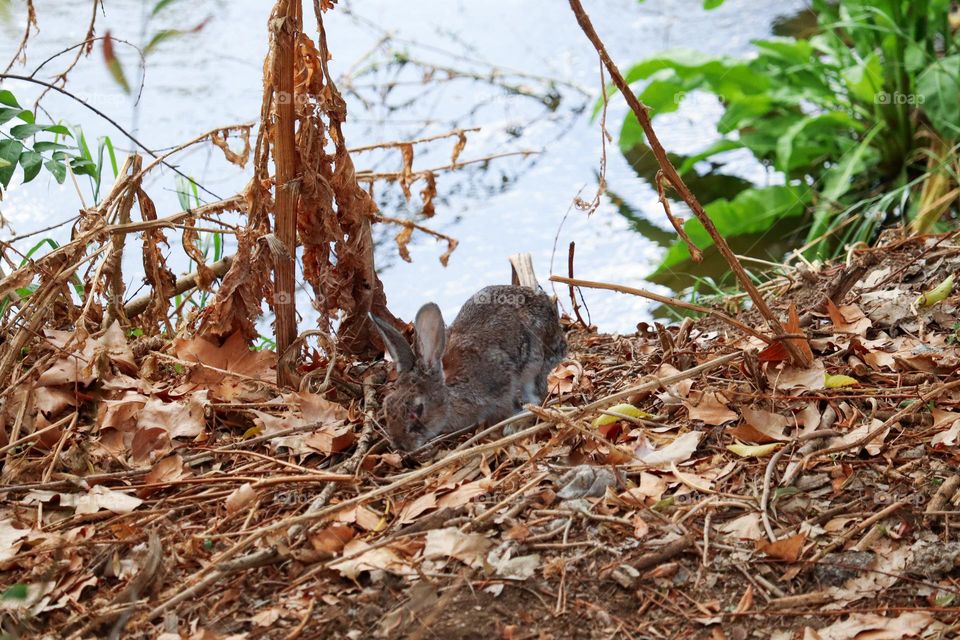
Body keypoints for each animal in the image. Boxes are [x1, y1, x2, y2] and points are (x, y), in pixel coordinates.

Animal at [368, 278, 564, 452]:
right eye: (387, 406)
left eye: (418, 410)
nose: (400, 446)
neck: (450, 393)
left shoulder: (502, 385)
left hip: (533, 363)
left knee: (537, 397)